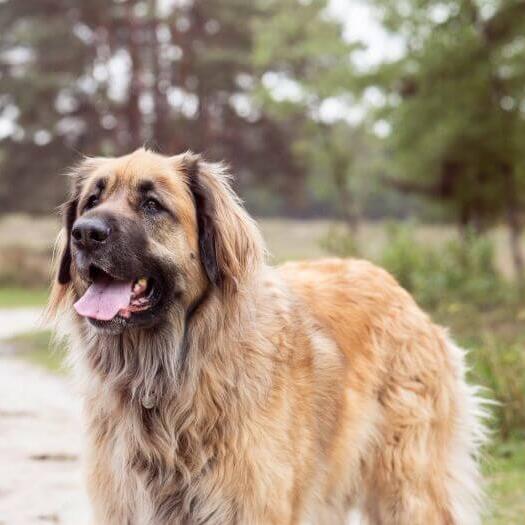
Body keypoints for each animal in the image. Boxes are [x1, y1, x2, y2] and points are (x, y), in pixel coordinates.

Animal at [49, 148, 488, 524]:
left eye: (152, 205)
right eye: (91, 201)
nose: (85, 234)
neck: (170, 373)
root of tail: (401, 294)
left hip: (407, 487)